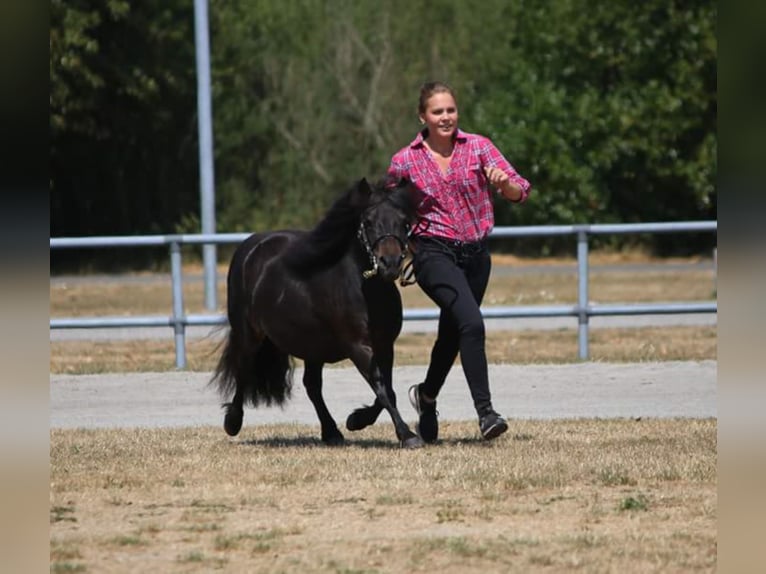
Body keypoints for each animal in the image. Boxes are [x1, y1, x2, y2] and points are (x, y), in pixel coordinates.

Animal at [212, 179, 426, 450]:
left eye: (404, 222)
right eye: (368, 221)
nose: (390, 263)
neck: (365, 289)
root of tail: (251, 248)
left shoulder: (385, 345)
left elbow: (387, 390)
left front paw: (356, 420)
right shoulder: (359, 347)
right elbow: (382, 388)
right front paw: (407, 435)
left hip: (311, 344)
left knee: (312, 385)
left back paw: (331, 431)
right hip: (249, 334)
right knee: (244, 370)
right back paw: (233, 421)